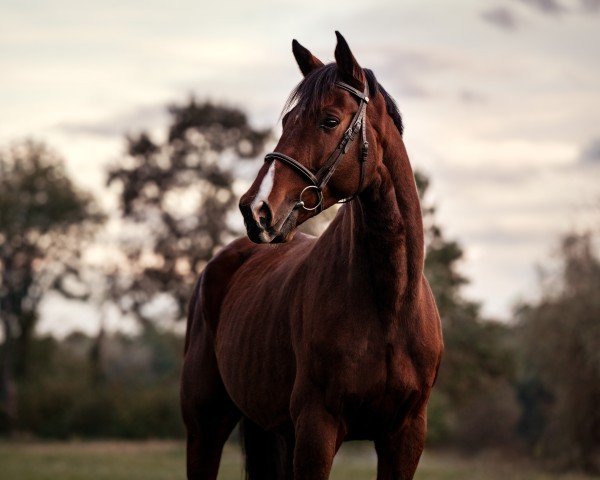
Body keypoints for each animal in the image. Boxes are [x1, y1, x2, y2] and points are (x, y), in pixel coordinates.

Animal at [180, 31, 442, 478]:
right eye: (287, 121)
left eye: (330, 120)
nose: (256, 209)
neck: (389, 306)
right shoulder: (317, 429)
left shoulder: (406, 435)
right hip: (205, 428)